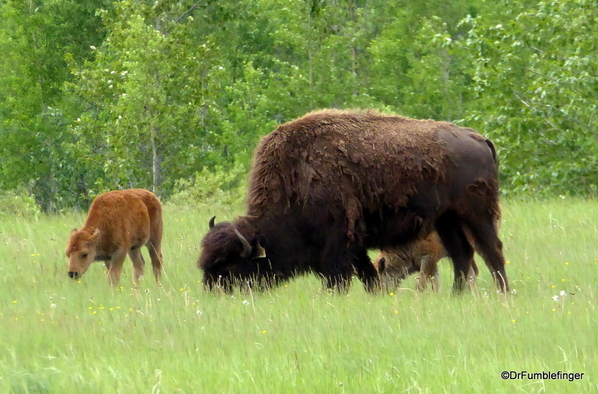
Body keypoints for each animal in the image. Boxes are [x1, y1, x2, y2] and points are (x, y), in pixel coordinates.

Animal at [199, 109, 508, 294]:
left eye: (229, 266)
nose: (212, 291)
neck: (295, 177)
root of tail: (479, 138)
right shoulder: (355, 244)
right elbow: (369, 276)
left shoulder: (339, 241)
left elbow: (338, 278)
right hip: (447, 220)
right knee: (462, 256)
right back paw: (458, 296)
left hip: (477, 214)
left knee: (492, 251)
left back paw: (503, 294)